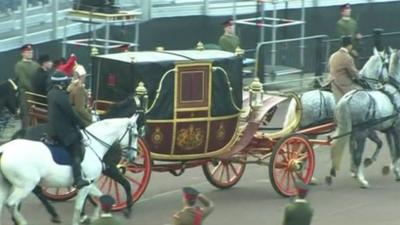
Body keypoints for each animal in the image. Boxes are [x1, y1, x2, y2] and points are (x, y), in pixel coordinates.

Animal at [0, 115, 140, 224]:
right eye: (136, 134)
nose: (134, 156)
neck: (94, 145)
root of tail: (4, 149)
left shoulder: (90, 183)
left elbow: (102, 198)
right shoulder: (88, 183)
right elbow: (78, 207)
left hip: (9, 186)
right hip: (26, 185)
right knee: (13, 202)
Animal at [330, 48, 400, 188]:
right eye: (386, 62)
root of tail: (347, 97)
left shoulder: (389, 129)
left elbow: (391, 149)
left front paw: (393, 169)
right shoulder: (396, 128)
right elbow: (397, 149)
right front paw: (396, 171)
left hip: (349, 130)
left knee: (339, 146)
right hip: (361, 132)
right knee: (358, 154)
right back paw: (362, 179)